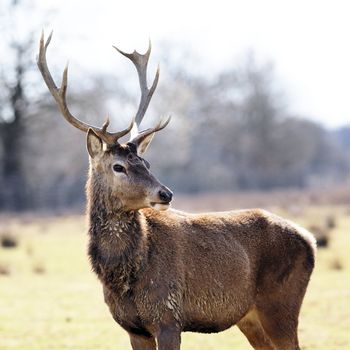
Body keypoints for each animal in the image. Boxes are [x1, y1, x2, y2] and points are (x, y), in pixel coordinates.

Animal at [37, 30, 318, 350]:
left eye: (146, 162)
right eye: (118, 166)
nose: (165, 194)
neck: (124, 277)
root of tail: (310, 240)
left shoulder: (168, 315)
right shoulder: (133, 327)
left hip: (281, 304)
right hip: (250, 318)